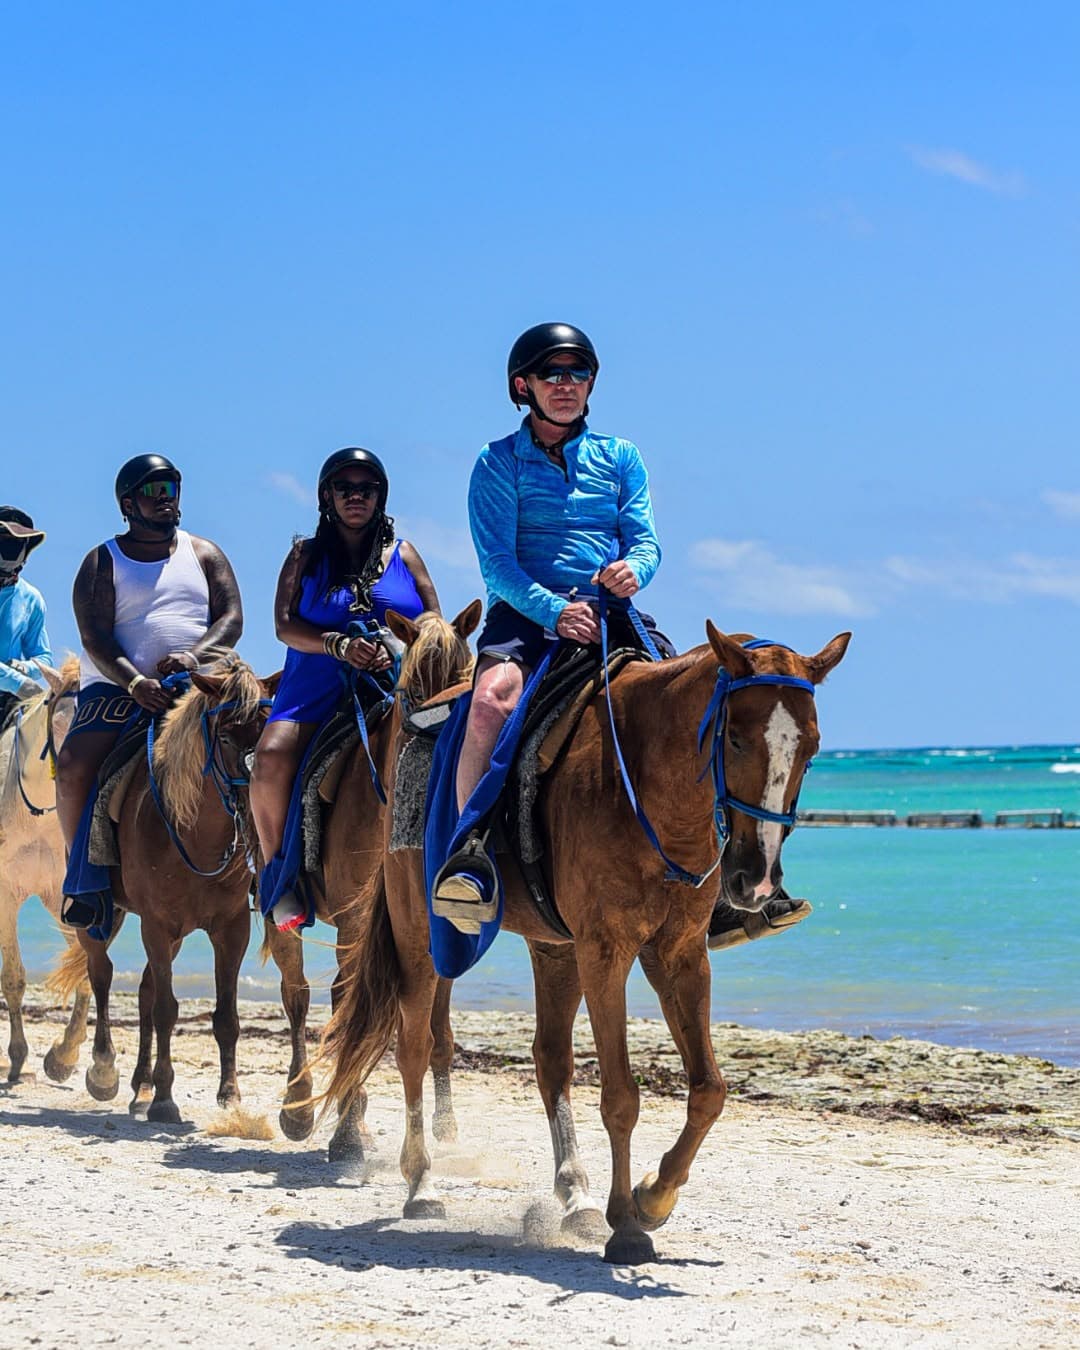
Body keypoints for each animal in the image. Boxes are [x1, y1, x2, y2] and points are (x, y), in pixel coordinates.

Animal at [64, 656, 271, 1123]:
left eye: (268, 733)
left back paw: (140, 1087)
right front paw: (163, 1099)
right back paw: (105, 1071)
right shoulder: (157, 925)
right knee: (102, 974)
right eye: (227, 736)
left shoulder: (231, 929)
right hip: (102, 916)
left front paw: (230, 1095)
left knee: (141, 990)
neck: (193, 833)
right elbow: (165, 1008)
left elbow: (225, 1016)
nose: (258, 805)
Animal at [262, 602, 480, 1158]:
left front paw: (445, 1124)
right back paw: (304, 1111)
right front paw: (346, 1129)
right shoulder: (356, 921)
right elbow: (350, 1006)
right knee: (300, 996)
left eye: (466, 677)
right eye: (412, 689)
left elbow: (438, 1027)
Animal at [321, 621, 850, 1263]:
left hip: (554, 952)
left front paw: (653, 1197)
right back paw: (423, 1185)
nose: (756, 880)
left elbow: (709, 1090)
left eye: (811, 749)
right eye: (738, 740)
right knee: (415, 1048)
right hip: (421, 935)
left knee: (550, 1061)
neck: (645, 785)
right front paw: (627, 1224)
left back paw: (575, 1196)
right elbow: (621, 1095)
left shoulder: (679, 955)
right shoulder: (606, 953)